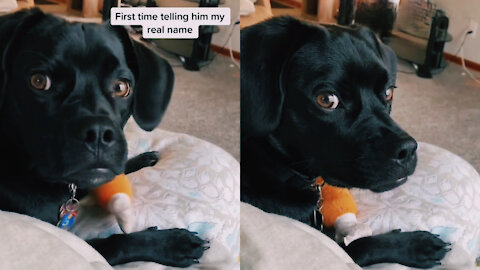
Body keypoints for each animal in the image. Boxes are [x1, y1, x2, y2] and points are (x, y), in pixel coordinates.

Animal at [0, 8, 206, 268]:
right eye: (38, 81)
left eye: (121, 87)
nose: (98, 133)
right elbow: (115, 243)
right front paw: (171, 243)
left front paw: (140, 159)